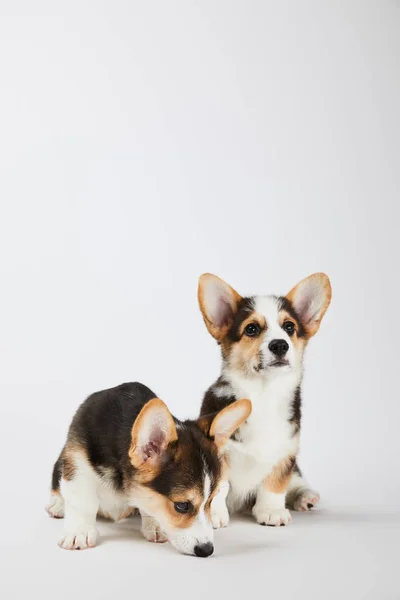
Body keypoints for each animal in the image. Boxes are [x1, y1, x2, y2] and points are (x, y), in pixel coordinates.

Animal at [46, 382, 250, 556]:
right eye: (182, 506)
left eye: (210, 500)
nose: (207, 550)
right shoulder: (77, 462)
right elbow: (82, 501)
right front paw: (78, 533)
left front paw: (154, 525)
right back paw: (58, 505)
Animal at [197, 274, 332, 528]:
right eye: (251, 329)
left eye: (289, 327)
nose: (280, 344)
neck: (263, 394)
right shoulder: (219, 450)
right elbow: (220, 485)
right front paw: (215, 514)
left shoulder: (286, 450)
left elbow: (276, 483)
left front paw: (271, 511)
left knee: (296, 480)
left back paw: (306, 497)